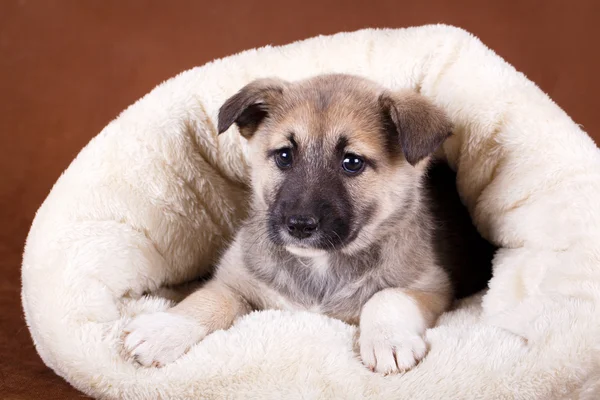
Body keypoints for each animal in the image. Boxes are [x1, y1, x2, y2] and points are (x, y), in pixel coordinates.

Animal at [122, 74, 492, 376]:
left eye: (352, 162)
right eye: (285, 156)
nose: (299, 225)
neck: (319, 266)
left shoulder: (431, 285)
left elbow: (387, 296)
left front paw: (388, 341)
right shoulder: (235, 282)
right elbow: (206, 300)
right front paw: (164, 329)